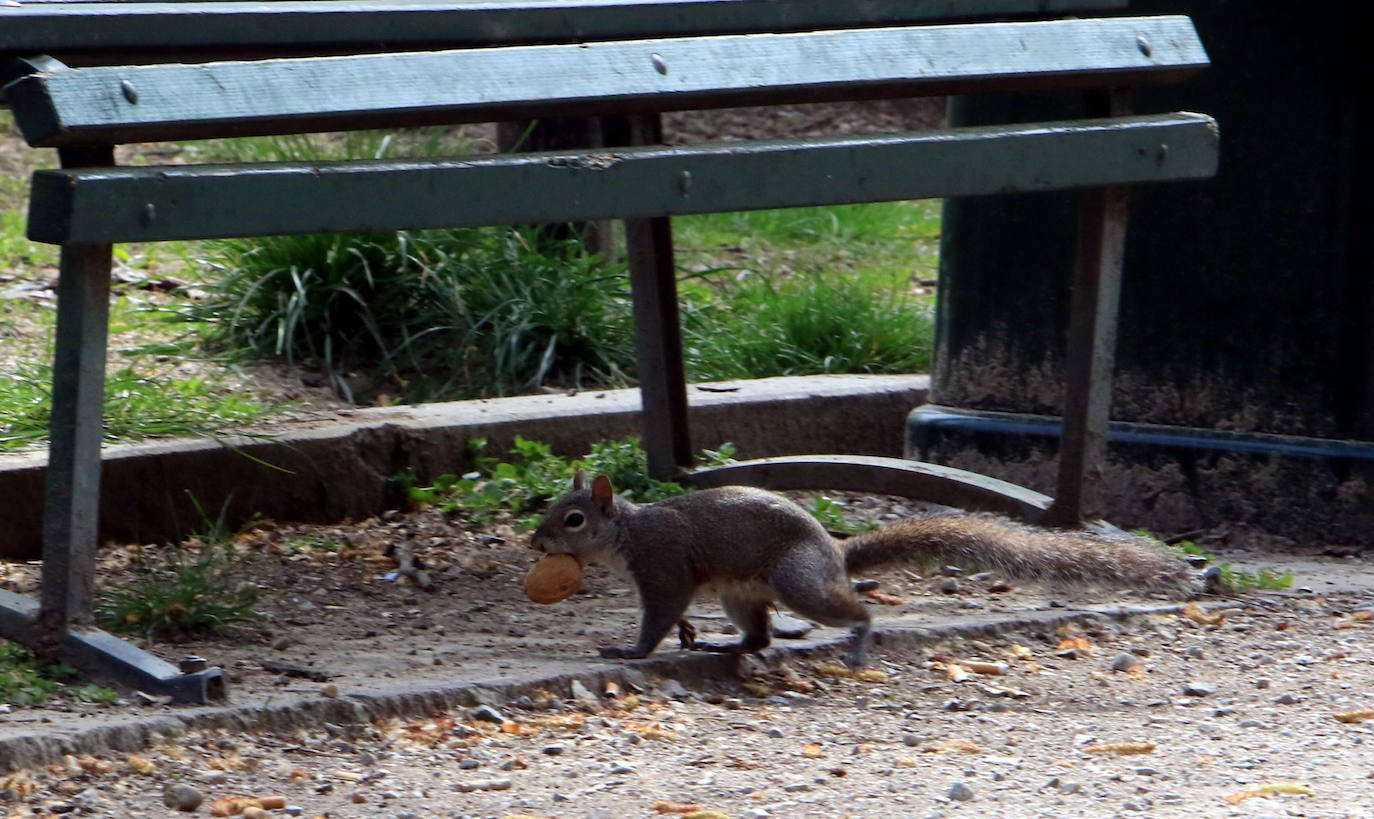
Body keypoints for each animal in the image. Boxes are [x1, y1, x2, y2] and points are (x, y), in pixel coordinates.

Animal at [530, 469, 1198, 667]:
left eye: (573, 519)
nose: (535, 542)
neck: (628, 533)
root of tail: (835, 554)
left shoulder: (664, 567)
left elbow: (659, 616)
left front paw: (630, 652)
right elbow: (674, 615)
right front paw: (688, 634)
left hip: (799, 583)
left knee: (853, 609)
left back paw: (859, 639)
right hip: (741, 594)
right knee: (759, 636)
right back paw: (725, 645)